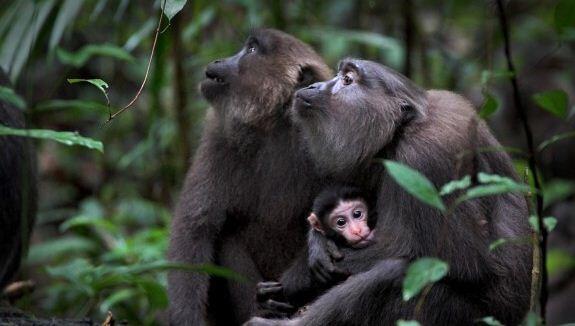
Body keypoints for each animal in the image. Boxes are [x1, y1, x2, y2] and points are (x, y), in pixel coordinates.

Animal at [242, 59, 532, 326]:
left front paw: (300, 276)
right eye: (339, 74)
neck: (403, 130)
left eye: (347, 80)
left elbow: (465, 263)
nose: (314, 86)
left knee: (394, 274)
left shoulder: (423, 157)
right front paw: (317, 241)